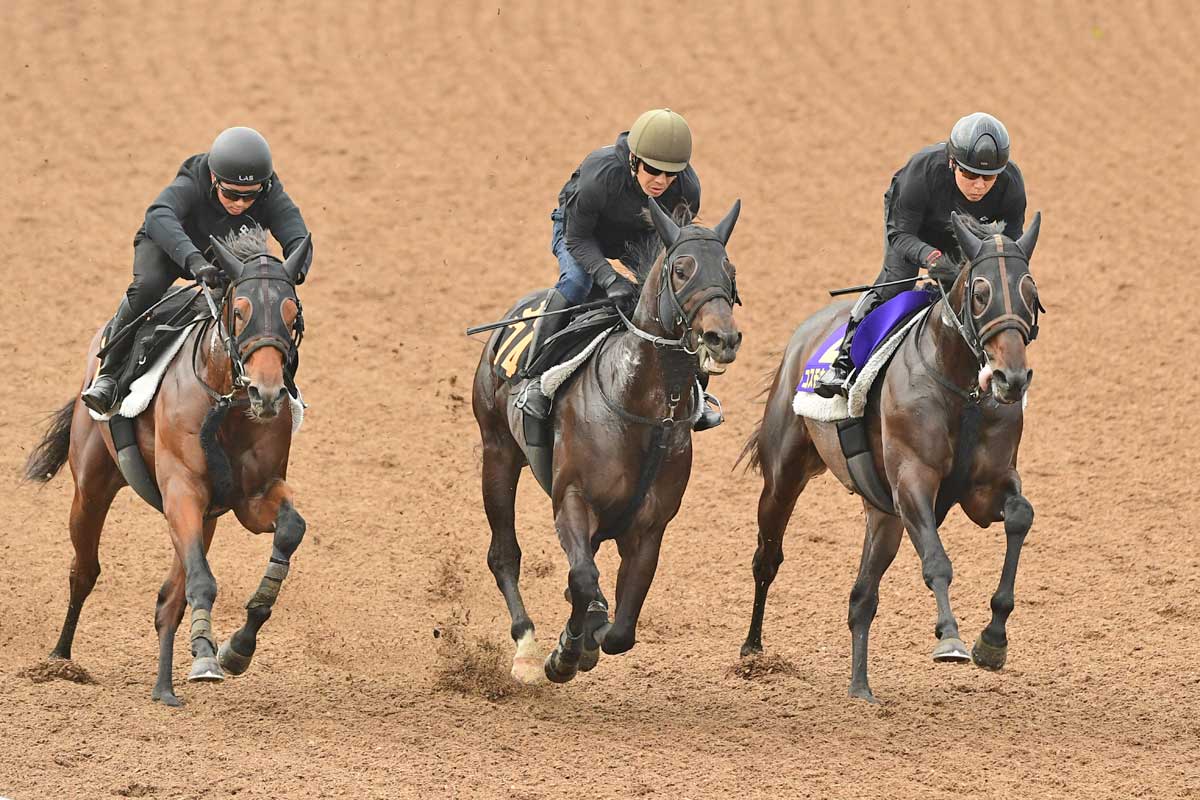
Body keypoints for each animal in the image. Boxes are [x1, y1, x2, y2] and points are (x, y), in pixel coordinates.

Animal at [24, 227, 312, 706]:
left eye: (293, 315)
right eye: (239, 311)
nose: (267, 393)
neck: (226, 403)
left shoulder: (250, 499)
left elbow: (289, 530)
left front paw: (235, 648)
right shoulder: (183, 490)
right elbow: (202, 581)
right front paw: (207, 656)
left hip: (205, 516)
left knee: (168, 600)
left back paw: (164, 687)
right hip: (92, 487)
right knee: (84, 571)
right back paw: (60, 660)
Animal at [472, 198, 743, 684]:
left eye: (729, 270)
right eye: (681, 269)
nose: (722, 338)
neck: (644, 412)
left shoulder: (650, 526)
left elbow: (621, 629)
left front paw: (586, 639)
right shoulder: (572, 499)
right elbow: (582, 578)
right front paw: (564, 654)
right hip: (496, 450)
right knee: (504, 554)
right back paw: (526, 646)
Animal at [737, 211, 1043, 702]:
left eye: (1031, 295)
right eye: (981, 294)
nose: (1010, 379)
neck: (963, 391)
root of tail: (807, 331)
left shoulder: (985, 489)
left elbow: (1020, 516)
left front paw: (993, 640)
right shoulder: (912, 483)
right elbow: (937, 561)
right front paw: (951, 638)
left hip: (883, 517)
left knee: (862, 597)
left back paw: (860, 688)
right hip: (784, 474)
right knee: (767, 557)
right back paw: (753, 650)